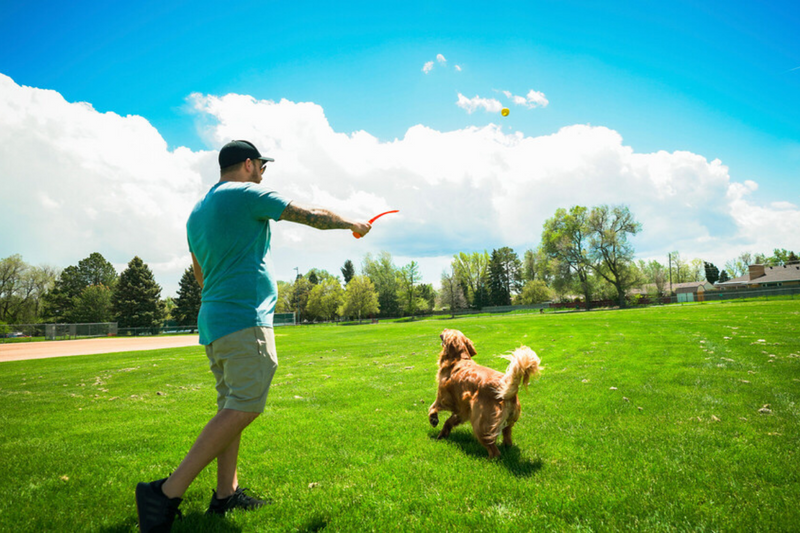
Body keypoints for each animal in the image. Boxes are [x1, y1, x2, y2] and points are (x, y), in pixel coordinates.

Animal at [428, 328, 540, 458]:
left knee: (494, 451)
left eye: (449, 331)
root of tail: (507, 393)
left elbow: (432, 407)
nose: (445, 328)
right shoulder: (463, 410)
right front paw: (442, 434)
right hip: (506, 423)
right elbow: (449, 421)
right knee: (507, 439)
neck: (459, 359)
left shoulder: (443, 397)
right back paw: (507, 448)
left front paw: (433, 420)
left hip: (480, 423)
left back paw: (488, 459)